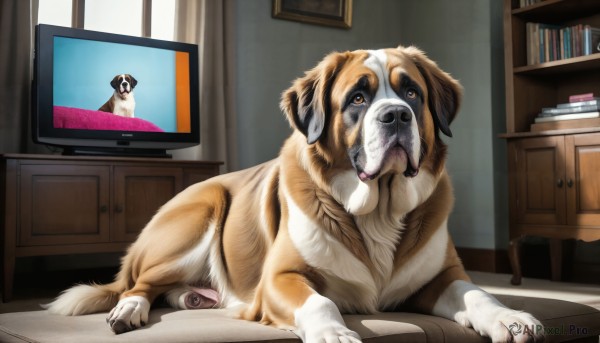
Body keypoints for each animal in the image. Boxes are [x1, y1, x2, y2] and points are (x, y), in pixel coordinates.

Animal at [45, 46, 544, 343]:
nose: (396, 115)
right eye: (358, 99)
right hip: (199, 216)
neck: (378, 211)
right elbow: (321, 300)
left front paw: (510, 317)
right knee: (138, 285)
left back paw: (194, 299)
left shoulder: (440, 277)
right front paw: (336, 334)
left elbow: (477, 293)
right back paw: (128, 310)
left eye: (412, 93)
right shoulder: (281, 278)